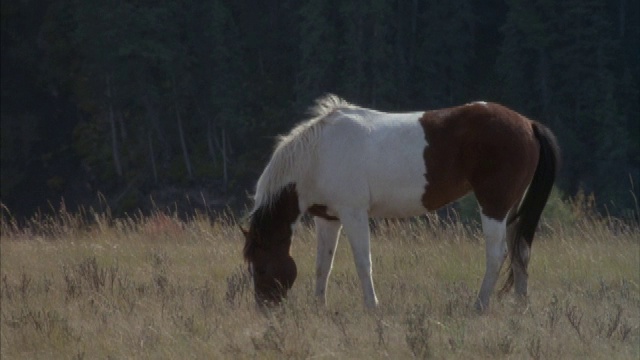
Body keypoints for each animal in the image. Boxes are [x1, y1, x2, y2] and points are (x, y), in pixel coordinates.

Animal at [242, 94, 556, 310]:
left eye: (261, 268)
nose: (265, 309)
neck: (318, 155)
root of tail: (527, 124)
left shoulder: (353, 214)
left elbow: (362, 262)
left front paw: (372, 306)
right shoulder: (327, 218)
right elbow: (323, 266)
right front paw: (320, 306)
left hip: (493, 206)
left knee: (496, 255)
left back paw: (479, 305)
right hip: (512, 208)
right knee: (520, 250)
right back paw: (520, 306)